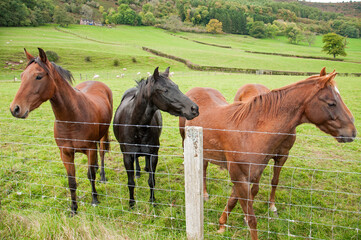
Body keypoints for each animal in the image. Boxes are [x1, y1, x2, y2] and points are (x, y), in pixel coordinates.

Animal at [9, 47, 112, 215]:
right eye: (22, 76)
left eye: (38, 76)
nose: (15, 108)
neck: (72, 118)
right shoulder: (65, 153)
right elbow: (71, 181)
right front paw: (73, 209)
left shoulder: (90, 149)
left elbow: (90, 175)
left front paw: (95, 199)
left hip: (104, 134)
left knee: (102, 152)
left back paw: (102, 175)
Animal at [179, 69, 352, 238]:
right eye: (331, 103)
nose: (352, 131)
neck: (249, 132)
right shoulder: (239, 177)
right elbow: (252, 219)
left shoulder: (252, 173)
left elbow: (235, 200)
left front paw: (222, 225)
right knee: (201, 169)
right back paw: (204, 194)